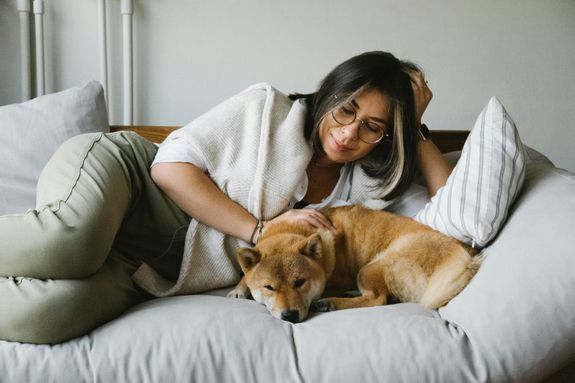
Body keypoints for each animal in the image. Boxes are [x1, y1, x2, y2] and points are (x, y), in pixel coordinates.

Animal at [227, 206, 484, 322]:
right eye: (269, 287)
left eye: (300, 282)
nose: (289, 315)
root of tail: (464, 255)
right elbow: (246, 275)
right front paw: (239, 289)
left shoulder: (341, 277)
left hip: (369, 268)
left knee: (377, 298)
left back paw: (330, 302)